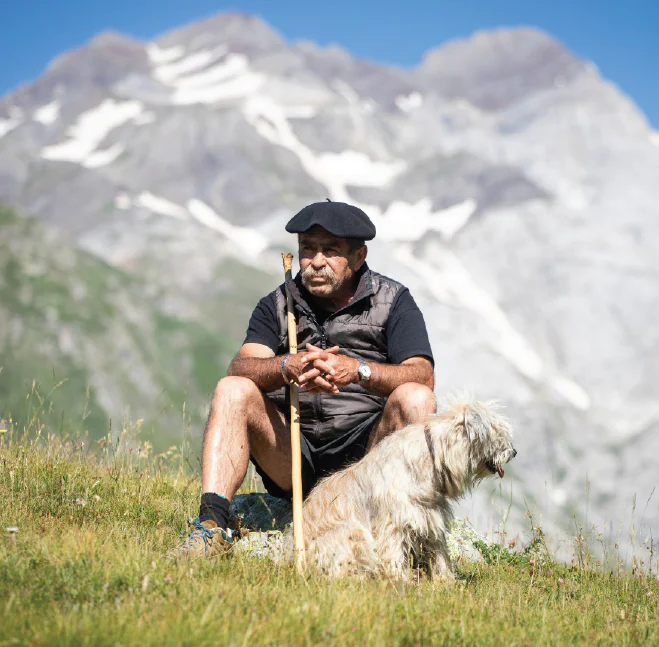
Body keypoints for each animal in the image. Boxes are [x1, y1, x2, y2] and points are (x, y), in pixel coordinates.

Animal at [302, 394, 520, 584]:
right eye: (499, 433)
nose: (514, 452)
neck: (432, 455)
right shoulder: (394, 520)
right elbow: (393, 550)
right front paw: (399, 579)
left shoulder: (430, 517)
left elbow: (439, 552)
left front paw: (446, 581)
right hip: (351, 532)